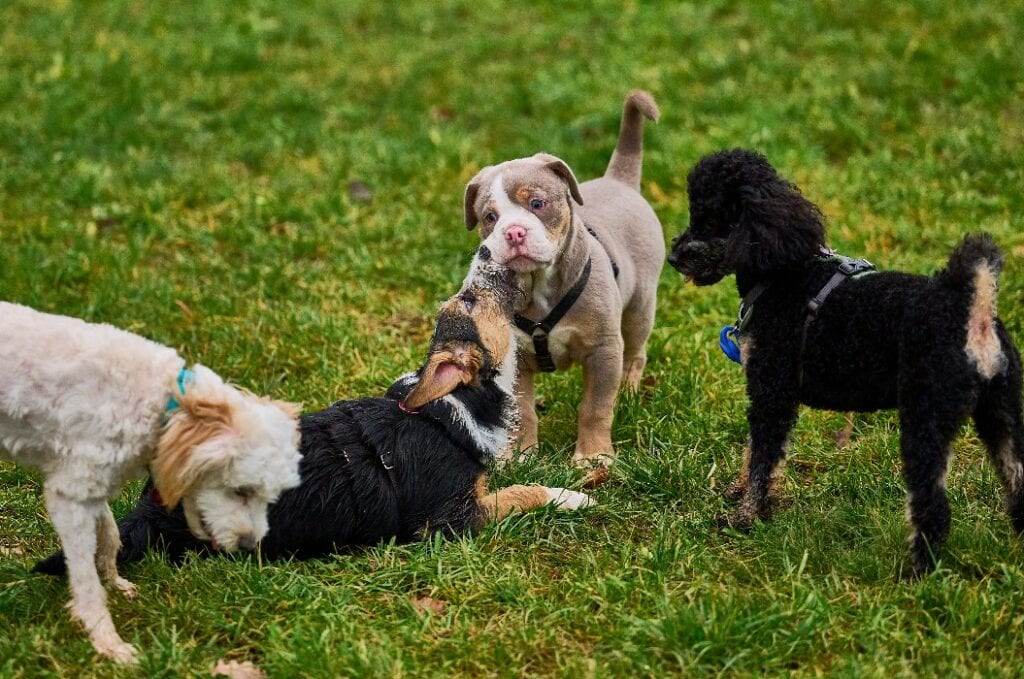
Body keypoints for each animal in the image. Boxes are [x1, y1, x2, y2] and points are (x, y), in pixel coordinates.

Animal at [0, 303, 301, 663]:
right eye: (241, 491)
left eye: (270, 499)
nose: (247, 547)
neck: (163, 404)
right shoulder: (70, 494)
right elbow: (86, 579)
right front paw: (107, 641)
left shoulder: (94, 484)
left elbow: (111, 535)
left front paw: (115, 581)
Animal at [36, 259, 593, 573]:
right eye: (474, 299)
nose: (492, 253)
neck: (453, 405)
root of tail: (151, 511)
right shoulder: (451, 520)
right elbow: (518, 494)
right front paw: (571, 496)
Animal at [464, 90, 663, 464]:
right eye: (489, 217)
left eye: (537, 203)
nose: (513, 232)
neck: (539, 285)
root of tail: (618, 179)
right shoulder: (516, 361)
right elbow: (522, 411)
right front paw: (521, 456)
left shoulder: (603, 350)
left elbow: (596, 407)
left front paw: (593, 456)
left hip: (640, 307)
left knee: (635, 353)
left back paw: (628, 394)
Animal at [667, 147, 1019, 573]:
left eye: (711, 217)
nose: (673, 256)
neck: (785, 272)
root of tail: (975, 313)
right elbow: (756, 453)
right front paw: (745, 494)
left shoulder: (772, 390)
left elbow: (764, 457)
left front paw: (745, 518)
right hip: (1001, 411)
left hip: (926, 413)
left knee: (932, 505)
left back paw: (917, 571)